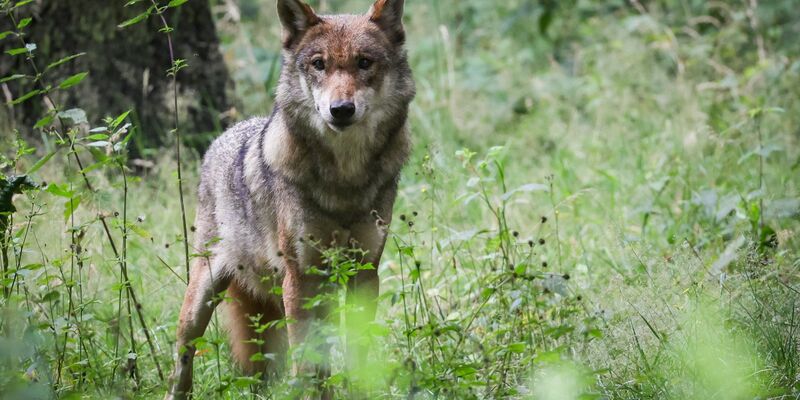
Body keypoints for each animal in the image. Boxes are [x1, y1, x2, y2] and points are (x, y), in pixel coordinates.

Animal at [165, 0, 414, 398]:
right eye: (318, 64)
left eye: (364, 62)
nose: (341, 109)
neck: (344, 180)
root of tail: (223, 137)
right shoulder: (300, 278)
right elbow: (306, 361)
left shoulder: (363, 273)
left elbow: (356, 355)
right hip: (202, 297)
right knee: (183, 357)